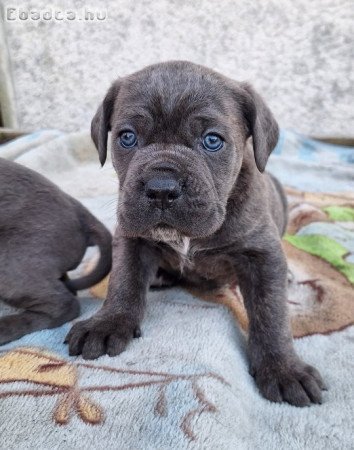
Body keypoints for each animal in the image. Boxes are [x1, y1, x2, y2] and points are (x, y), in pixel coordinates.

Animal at [65, 60, 324, 408]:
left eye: (212, 141)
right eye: (127, 137)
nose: (161, 188)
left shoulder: (262, 253)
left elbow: (271, 312)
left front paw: (282, 367)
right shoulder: (132, 238)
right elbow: (124, 282)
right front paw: (108, 322)